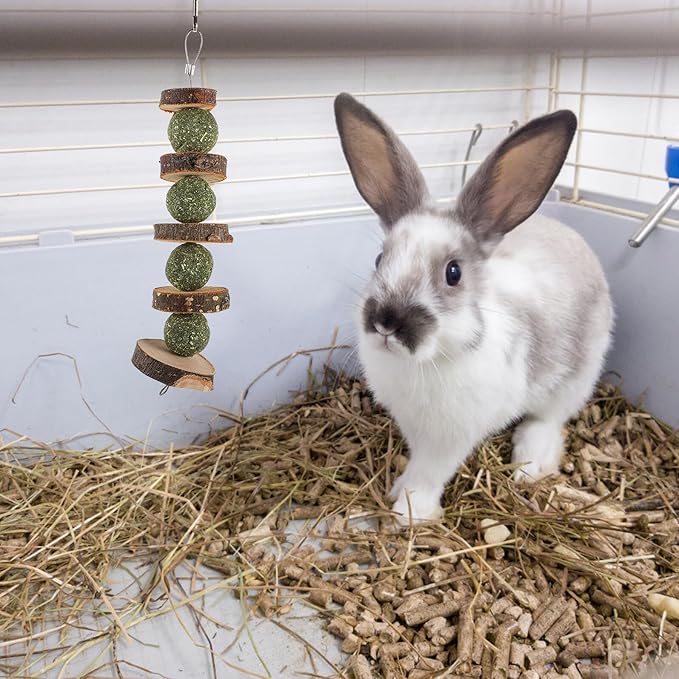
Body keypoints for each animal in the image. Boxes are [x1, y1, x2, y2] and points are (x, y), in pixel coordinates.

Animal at [333, 93, 614, 523]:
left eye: (453, 273)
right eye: (380, 259)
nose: (386, 322)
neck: (429, 360)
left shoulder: (450, 439)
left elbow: (430, 474)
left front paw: (410, 512)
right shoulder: (415, 428)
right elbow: (416, 464)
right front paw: (399, 488)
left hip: (576, 377)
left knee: (550, 419)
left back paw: (531, 462)